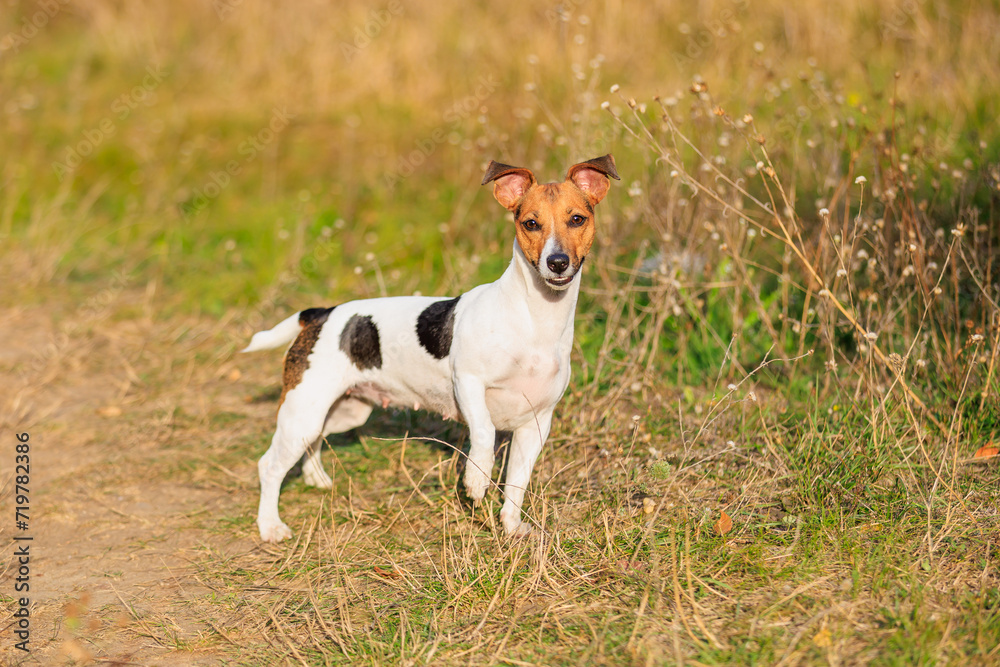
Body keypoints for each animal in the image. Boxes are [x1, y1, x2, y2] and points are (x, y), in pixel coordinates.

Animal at [242, 157, 616, 544]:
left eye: (577, 219)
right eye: (531, 223)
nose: (557, 262)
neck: (534, 318)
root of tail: (321, 314)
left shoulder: (535, 424)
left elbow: (517, 485)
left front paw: (512, 528)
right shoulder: (468, 383)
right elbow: (484, 433)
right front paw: (476, 479)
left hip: (340, 412)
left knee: (313, 443)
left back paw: (316, 478)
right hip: (302, 411)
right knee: (269, 466)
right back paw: (270, 525)